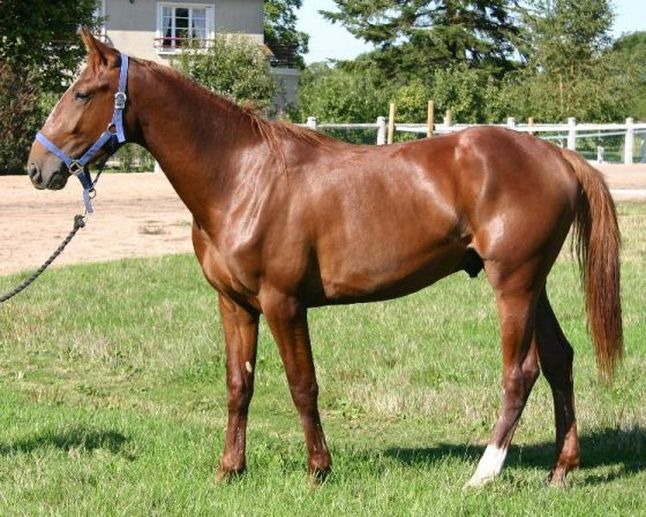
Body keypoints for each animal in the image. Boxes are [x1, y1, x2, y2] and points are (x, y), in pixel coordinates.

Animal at [26, 30, 624, 486]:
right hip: (534, 285)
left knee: (520, 372)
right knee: (560, 360)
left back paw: (483, 474)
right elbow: (239, 386)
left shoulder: (284, 303)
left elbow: (301, 384)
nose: (37, 168)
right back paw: (560, 470)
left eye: (83, 93)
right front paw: (230, 470)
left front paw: (318, 469)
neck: (242, 177)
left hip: (513, 285)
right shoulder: (234, 304)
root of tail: (557, 154)